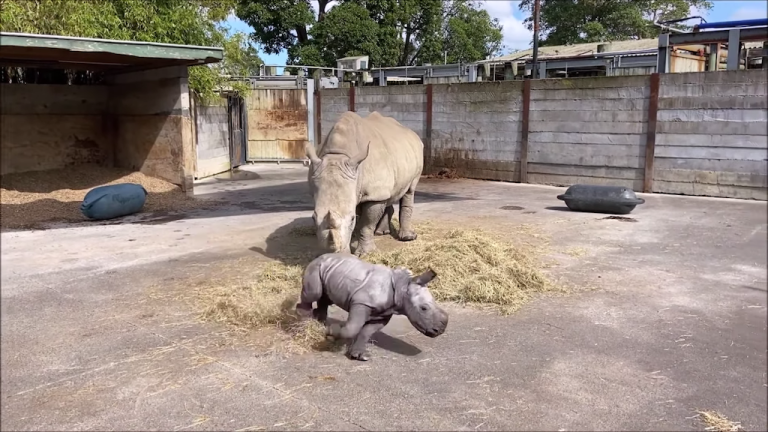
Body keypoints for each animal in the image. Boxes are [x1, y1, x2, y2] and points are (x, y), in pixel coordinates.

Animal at [296, 253, 450, 362]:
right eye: (424, 308)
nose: (439, 331)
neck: (403, 287)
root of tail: (320, 256)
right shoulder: (361, 302)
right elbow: (352, 328)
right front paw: (331, 331)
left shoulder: (384, 314)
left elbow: (366, 332)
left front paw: (359, 356)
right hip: (315, 266)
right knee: (314, 293)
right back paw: (304, 320)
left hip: (333, 270)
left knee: (325, 298)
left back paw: (318, 322)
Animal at [306, 111, 426, 256]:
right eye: (313, 218)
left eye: (352, 219)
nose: (334, 255)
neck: (338, 155)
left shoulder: (372, 193)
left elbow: (366, 224)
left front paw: (366, 253)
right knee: (388, 195)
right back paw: (381, 232)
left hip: (417, 153)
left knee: (409, 190)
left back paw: (407, 237)